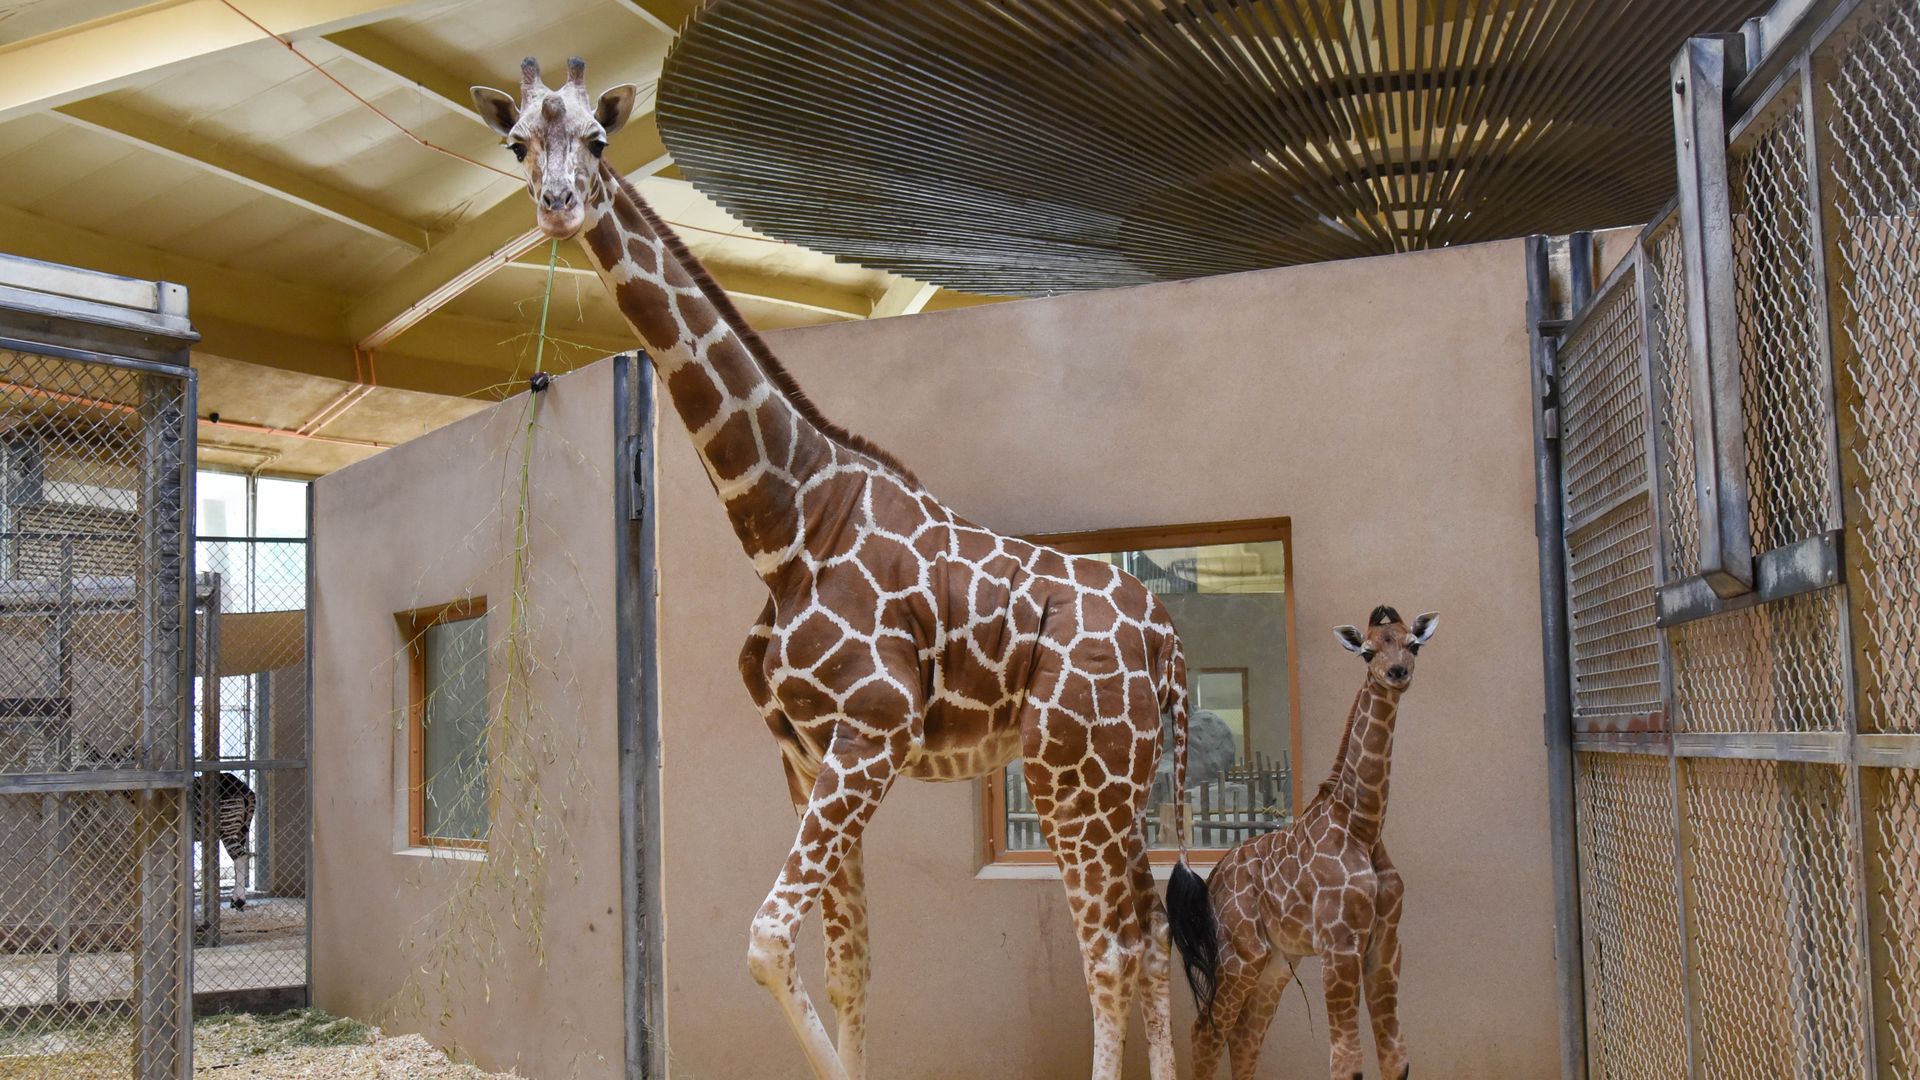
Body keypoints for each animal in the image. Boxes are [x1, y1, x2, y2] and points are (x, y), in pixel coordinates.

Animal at [470, 59, 1196, 1080]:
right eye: (518, 143)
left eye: (599, 139)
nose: (559, 206)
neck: (786, 525)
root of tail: (1168, 637)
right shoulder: (806, 751)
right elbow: (850, 964)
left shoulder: (875, 732)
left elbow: (768, 941)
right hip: (1118, 777)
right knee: (1149, 927)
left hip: (1073, 771)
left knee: (1111, 947)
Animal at [1167, 605, 1438, 1080]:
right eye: (1368, 652)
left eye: (1413, 644)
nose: (1398, 673)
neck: (1363, 826)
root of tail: (1213, 876)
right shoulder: (1339, 943)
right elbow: (1347, 1062)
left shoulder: (1386, 941)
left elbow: (1396, 1058)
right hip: (1240, 955)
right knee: (1206, 1032)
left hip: (1276, 961)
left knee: (1244, 1038)